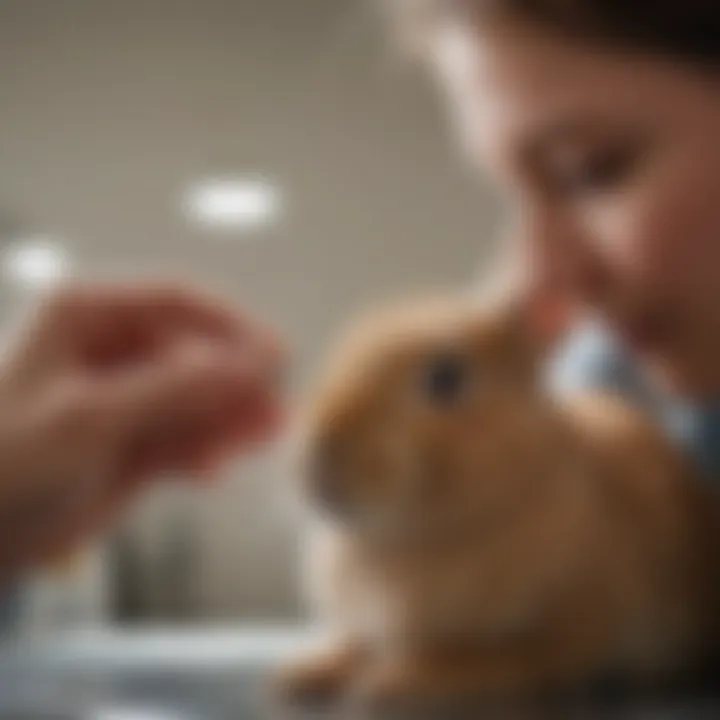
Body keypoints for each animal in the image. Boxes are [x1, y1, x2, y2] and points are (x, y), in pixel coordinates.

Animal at [278, 290, 720, 704]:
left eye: (446, 376)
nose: (318, 455)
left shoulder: (562, 627)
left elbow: (492, 658)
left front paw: (393, 680)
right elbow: (351, 645)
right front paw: (303, 675)